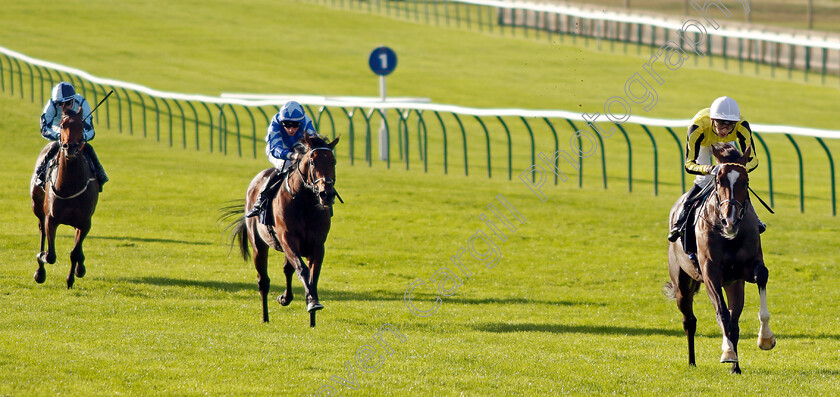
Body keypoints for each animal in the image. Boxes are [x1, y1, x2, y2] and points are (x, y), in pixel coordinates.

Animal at [31, 108, 100, 288]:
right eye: (62, 125)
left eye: (82, 125)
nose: (71, 147)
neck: (70, 186)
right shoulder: (51, 219)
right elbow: (50, 256)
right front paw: (42, 258)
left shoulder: (85, 222)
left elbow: (75, 252)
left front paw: (73, 276)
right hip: (37, 207)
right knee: (42, 233)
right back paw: (40, 270)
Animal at [226, 133, 342, 324]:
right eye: (312, 161)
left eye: (333, 161)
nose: (327, 194)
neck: (305, 203)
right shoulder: (288, 239)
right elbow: (302, 269)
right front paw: (311, 303)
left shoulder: (317, 245)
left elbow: (312, 274)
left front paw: (312, 310)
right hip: (258, 245)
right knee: (263, 281)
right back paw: (265, 317)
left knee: (287, 269)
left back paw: (285, 298)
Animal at [668, 142, 776, 372]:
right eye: (719, 180)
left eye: (746, 181)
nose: (730, 221)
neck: (728, 236)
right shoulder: (710, 273)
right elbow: (722, 313)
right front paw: (727, 352)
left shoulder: (746, 269)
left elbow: (761, 276)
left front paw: (765, 338)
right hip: (681, 282)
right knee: (689, 320)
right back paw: (692, 361)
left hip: (733, 284)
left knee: (734, 321)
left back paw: (736, 367)